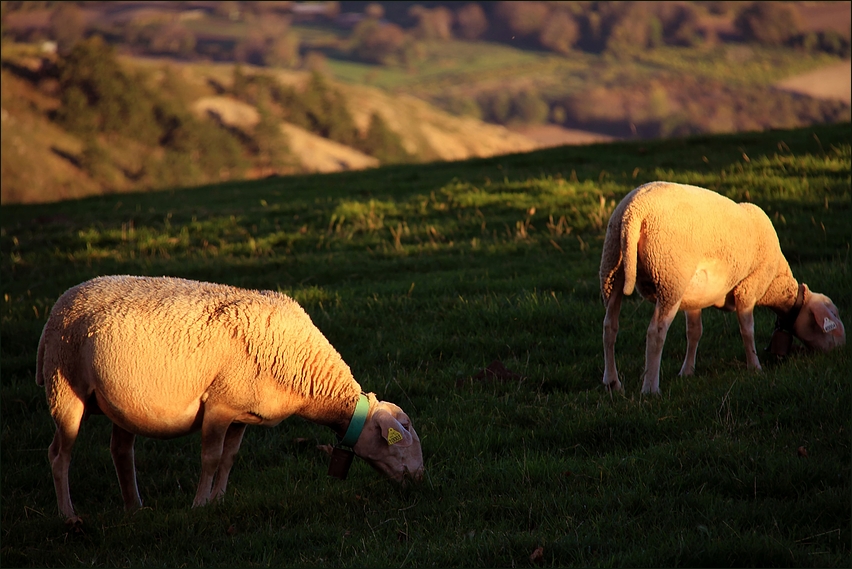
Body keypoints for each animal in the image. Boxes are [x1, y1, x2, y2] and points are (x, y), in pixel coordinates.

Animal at [38, 276, 424, 524]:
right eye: (400, 436)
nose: (419, 479)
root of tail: (65, 297)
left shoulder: (242, 413)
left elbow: (229, 458)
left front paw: (220, 499)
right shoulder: (219, 405)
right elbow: (210, 458)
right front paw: (199, 505)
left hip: (123, 402)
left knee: (120, 451)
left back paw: (135, 508)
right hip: (64, 385)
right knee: (59, 454)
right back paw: (68, 515)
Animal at [600, 182, 844, 394]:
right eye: (833, 314)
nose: (841, 348)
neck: (775, 284)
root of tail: (634, 211)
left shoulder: (695, 294)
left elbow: (694, 332)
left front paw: (687, 372)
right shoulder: (748, 287)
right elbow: (747, 330)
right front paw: (755, 367)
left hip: (613, 267)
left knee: (610, 326)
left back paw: (612, 382)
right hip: (671, 279)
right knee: (655, 332)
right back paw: (650, 388)